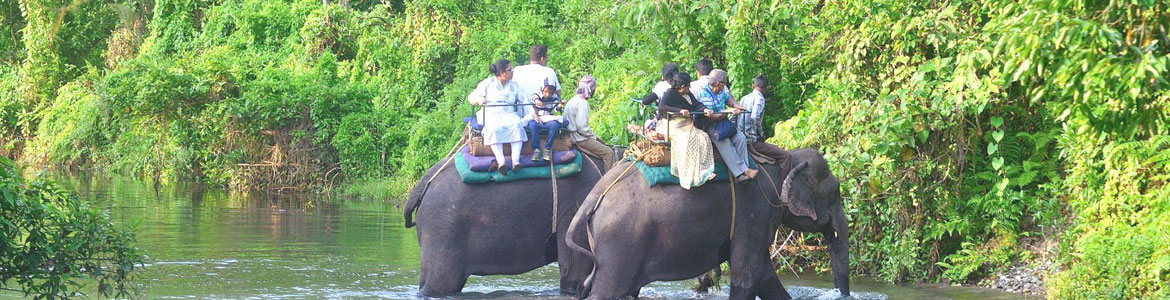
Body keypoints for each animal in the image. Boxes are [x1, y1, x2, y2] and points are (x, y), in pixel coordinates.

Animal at [561, 148, 847, 300]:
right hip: (620, 242)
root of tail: (595, 195)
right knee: (608, 290)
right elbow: (747, 273)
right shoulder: (756, 208)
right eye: (835, 193)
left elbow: (764, 275)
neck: (784, 159)